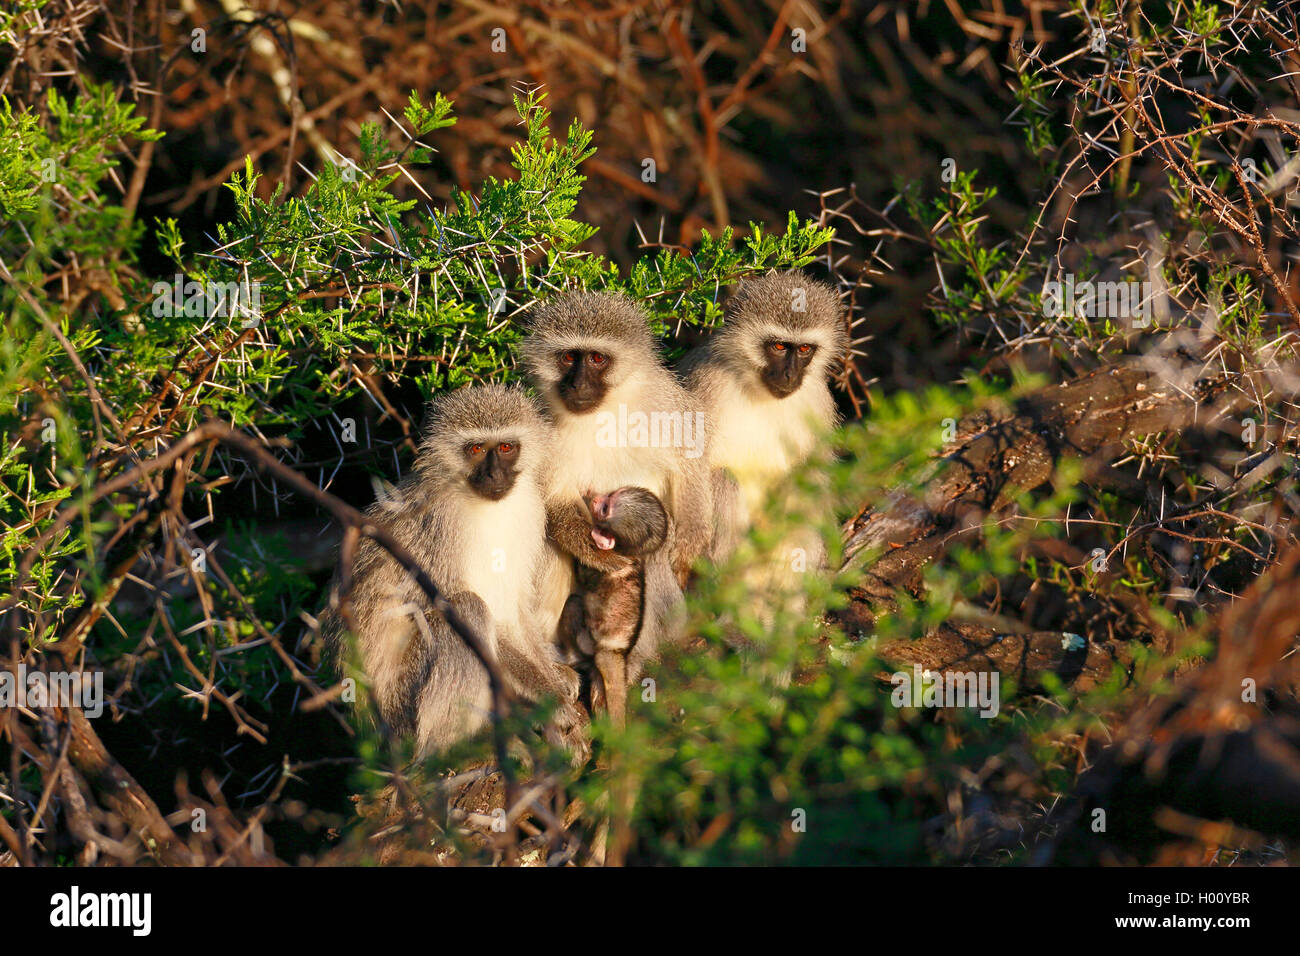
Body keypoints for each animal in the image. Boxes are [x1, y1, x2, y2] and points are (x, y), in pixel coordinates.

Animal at [325, 385, 585, 759]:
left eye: (505, 447)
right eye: (475, 449)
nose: (493, 476)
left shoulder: (530, 511)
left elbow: (515, 611)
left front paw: (555, 679)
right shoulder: (443, 524)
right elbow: (454, 603)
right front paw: (551, 698)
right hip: (401, 710)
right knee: (467, 608)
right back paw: (456, 747)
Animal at [517, 290, 712, 681]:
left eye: (596, 358)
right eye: (568, 357)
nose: (577, 384)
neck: (602, 412)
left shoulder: (665, 404)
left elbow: (690, 468)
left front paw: (685, 558)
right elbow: (555, 503)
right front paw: (604, 559)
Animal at [561, 489, 670, 728]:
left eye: (605, 509)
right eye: (611, 494)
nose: (596, 499)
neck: (631, 556)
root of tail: (617, 651)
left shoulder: (606, 566)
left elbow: (586, 572)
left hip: (590, 643)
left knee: (573, 605)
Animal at [676, 270, 847, 567]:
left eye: (804, 349)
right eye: (778, 345)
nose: (790, 375)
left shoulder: (818, 399)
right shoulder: (705, 383)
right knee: (723, 478)